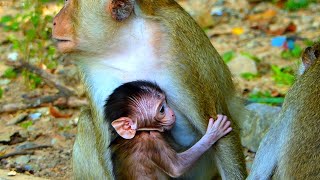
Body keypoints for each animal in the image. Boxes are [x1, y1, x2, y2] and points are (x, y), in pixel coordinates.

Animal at [52, 0, 248, 179]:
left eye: (69, 3)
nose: (54, 22)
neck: (126, 43)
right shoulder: (91, 68)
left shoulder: (178, 46)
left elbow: (218, 124)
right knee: (86, 120)